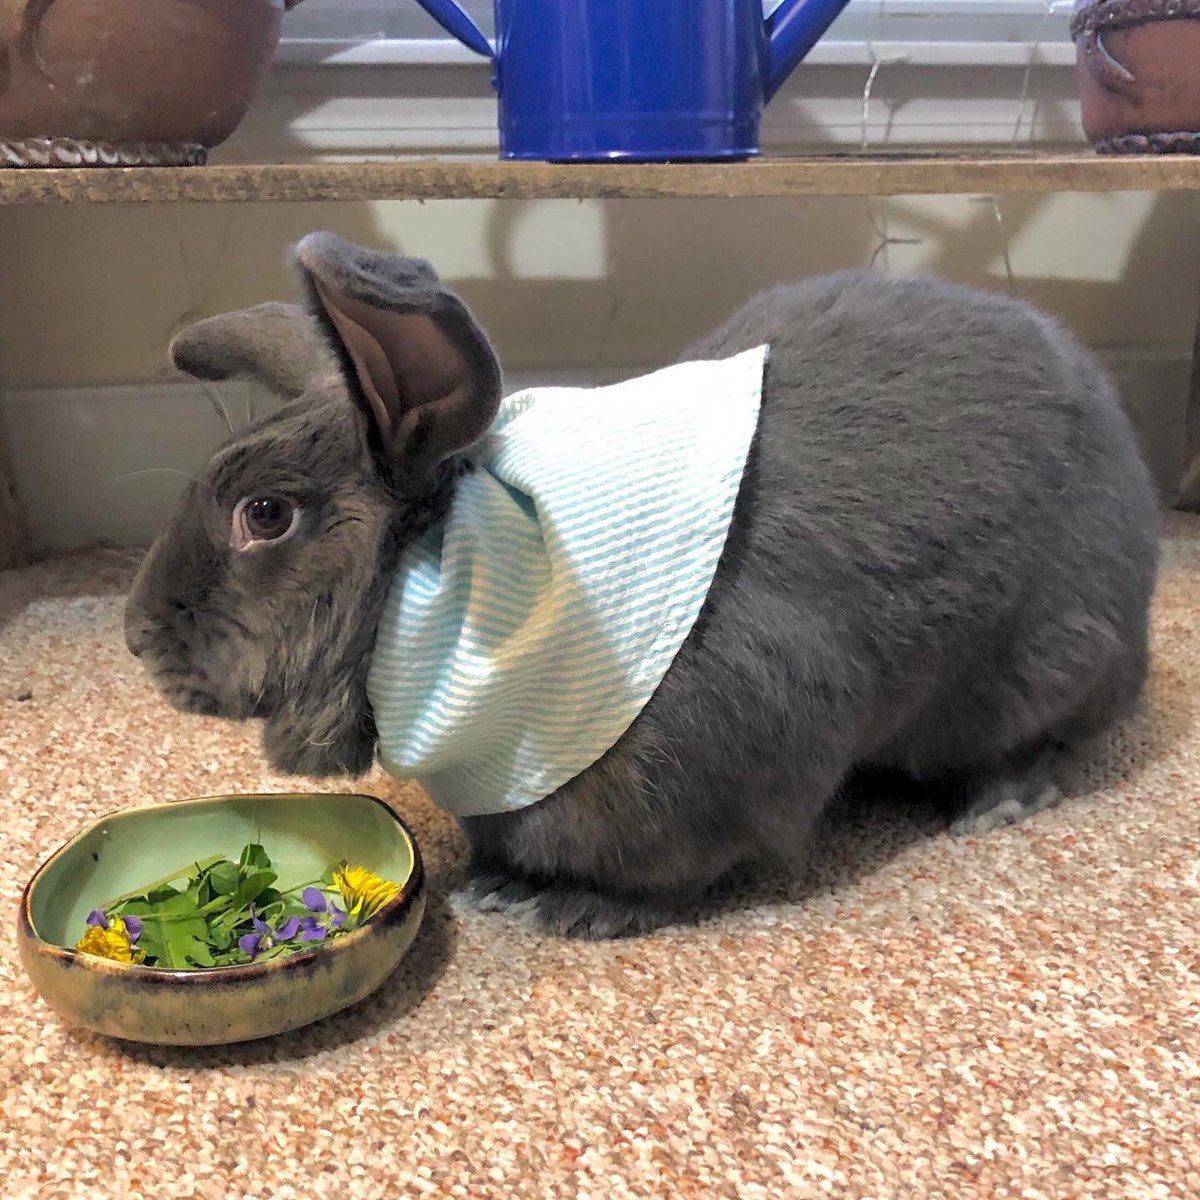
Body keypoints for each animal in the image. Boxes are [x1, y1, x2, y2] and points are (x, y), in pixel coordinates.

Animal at [124, 231, 1159, 939]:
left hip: (1047, 663)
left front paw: (571, 911)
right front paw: (498, 886)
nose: (137, 636)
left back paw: (1000, 802)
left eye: (265, 515)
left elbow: (674, 872)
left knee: (1056, 741)